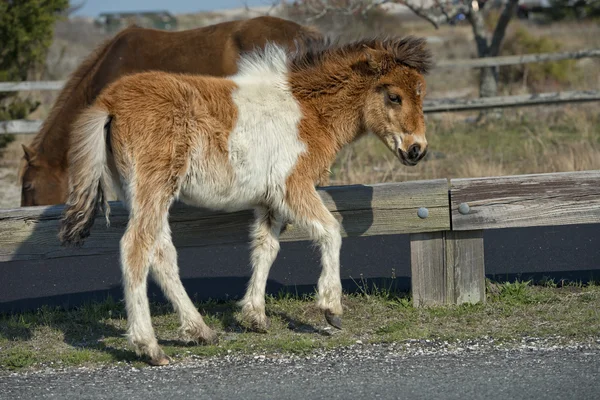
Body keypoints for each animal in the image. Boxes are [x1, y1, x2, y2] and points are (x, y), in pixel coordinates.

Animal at [59, 37, 432, 366]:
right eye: (394, 97)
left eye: (421, 93)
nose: (417, 150)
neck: (308, 111)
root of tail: (108, 102)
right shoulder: (293, 186)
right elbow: (330, 230)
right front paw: (330, 308)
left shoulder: (270, 202)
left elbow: (266, 248)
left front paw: (255, 316)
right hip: (152, 188)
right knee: (136, 248)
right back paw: (149, 347)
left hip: (145, 194)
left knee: (162, 254)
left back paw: (199, 330)